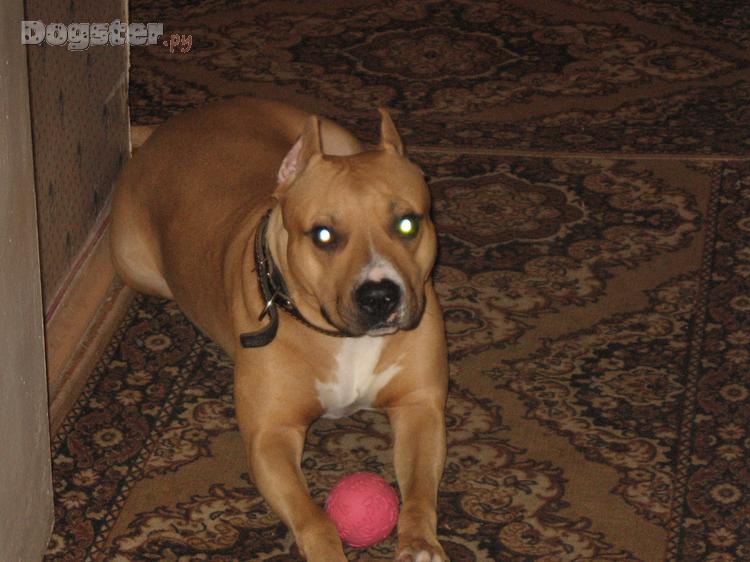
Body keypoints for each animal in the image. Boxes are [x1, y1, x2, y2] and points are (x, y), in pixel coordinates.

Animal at [110, 97, 449, 561]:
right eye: (323, 235)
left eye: (408, 224)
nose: (380, 296)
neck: (346, 340)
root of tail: (163, 131)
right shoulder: (270, 437)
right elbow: (315, 518)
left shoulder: (419, 407)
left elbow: (418, 493)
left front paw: (419, 545)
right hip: (137, 268)